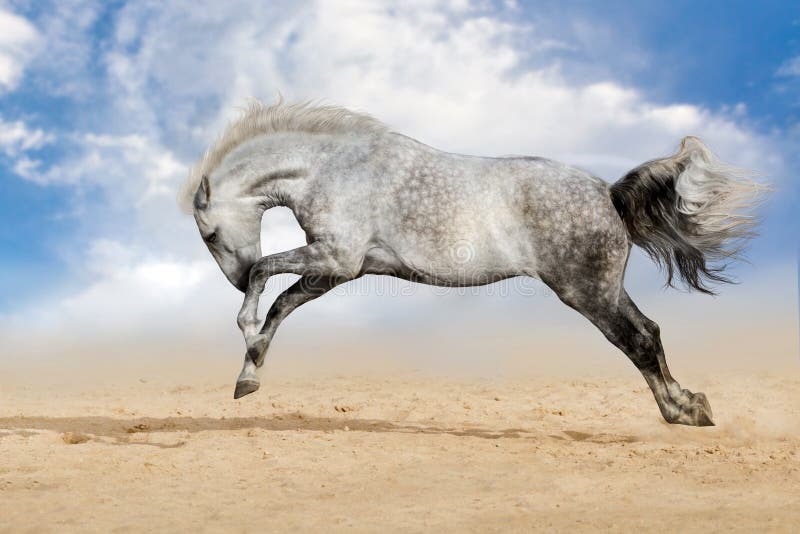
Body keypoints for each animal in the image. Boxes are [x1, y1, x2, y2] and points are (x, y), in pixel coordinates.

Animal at [178, 99, 764, 428]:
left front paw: (246, 333)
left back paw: (681, 413)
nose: (230, 280)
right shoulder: (338, 270)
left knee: (637, 341)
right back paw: (692, 405)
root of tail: (607, 193)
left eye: (208, 234)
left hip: (587, 293)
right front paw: (249, 374)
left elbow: (265, 276)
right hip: (606, 289)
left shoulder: (334, 258)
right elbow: (282, 304)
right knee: (651, 332)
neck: (333, 167)